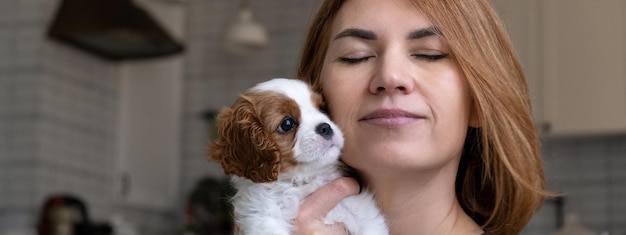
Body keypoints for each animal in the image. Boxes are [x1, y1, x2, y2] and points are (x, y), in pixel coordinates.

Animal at [207, 78, 388, 234]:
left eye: (322, 109)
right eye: (287, 124)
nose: (325, 127)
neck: (301, 181)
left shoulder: (361, 210)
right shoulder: (262, 218)